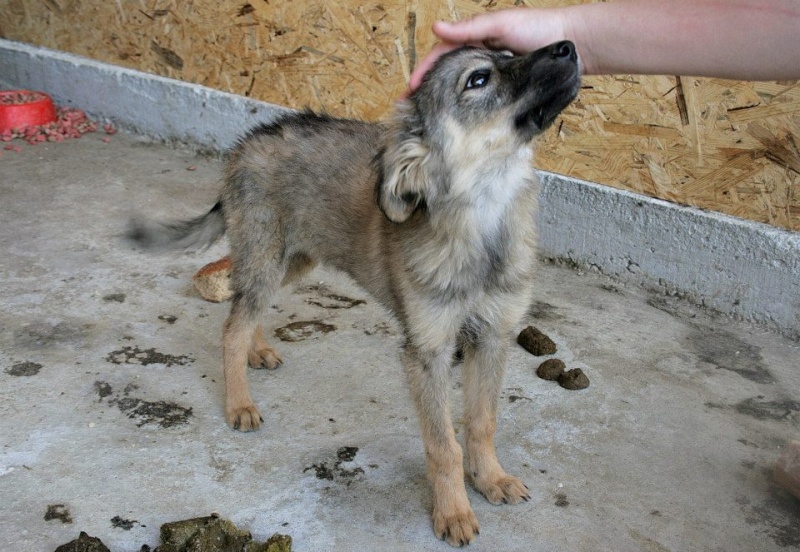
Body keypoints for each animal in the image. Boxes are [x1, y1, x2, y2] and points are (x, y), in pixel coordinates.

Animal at [130, 41, 580, 544]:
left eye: (509, 51)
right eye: (478, 79)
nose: (567, 46)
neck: (485, 222)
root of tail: (252, 138)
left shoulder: (492, 337)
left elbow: (483, 423)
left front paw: (491, 479)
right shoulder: (427, 352)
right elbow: (444, 445)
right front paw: (454, 511)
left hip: (295, 258)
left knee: (244, 307)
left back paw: (256, 349)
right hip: (267, 255)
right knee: (232, 325)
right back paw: (239, 401)